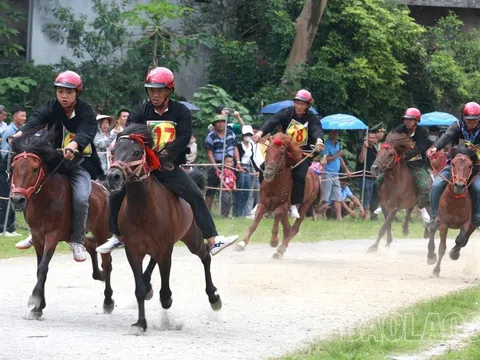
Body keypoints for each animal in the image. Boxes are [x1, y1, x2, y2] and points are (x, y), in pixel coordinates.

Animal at [8, 131, 114, 320]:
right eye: (13, 167)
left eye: (35, 169)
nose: (17, 199)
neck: (45, 200)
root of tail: (104, 189)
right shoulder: (38, 236)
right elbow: (39, 268)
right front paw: (39, 305)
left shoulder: (53, 235)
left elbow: (43, 267)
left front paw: (35, 303)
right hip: (71, 235)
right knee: (90, 245)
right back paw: (96, 273)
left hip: (102, 232)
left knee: (107, 263)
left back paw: (108, 300)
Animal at [106, 124, 220, 334]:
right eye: (113, 151)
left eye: (137, 152)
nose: (113, 177)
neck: (143, 211)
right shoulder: (133, 251)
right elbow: (139, 289)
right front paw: (140, 323)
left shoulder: (166, 250)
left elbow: (165, 292)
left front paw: (165, 301)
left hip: (193, 238)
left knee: (205, 256)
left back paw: (214, 298)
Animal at [426, 146, 478, 276]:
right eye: (453, 163)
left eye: (470, 165)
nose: (459, 185)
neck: (455, 201)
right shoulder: (444, 224)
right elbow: (442, 248)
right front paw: (436, 270)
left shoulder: (467, 223)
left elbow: (460, 240)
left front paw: (454, 253)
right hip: (436, 218)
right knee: (432, 229)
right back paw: (430, 256)